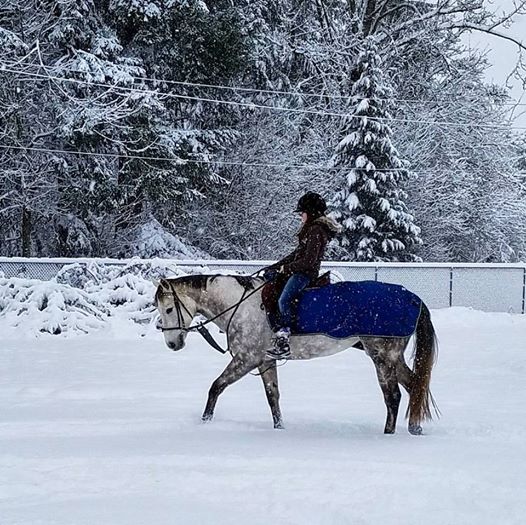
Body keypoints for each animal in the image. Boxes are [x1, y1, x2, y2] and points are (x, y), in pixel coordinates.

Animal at [155, 274, 440, 434]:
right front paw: (279, 429)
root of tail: (413, 298)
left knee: (393, 397)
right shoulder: (266, 362)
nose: (172, 344)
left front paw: (205, 423)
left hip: (382, 357)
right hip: (393, 359)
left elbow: (216, 387)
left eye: (168, 309)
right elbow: (273, 397)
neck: (241, 304)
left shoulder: (246, 359)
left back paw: (389, 434)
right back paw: (415, 428)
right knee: (415, 386)